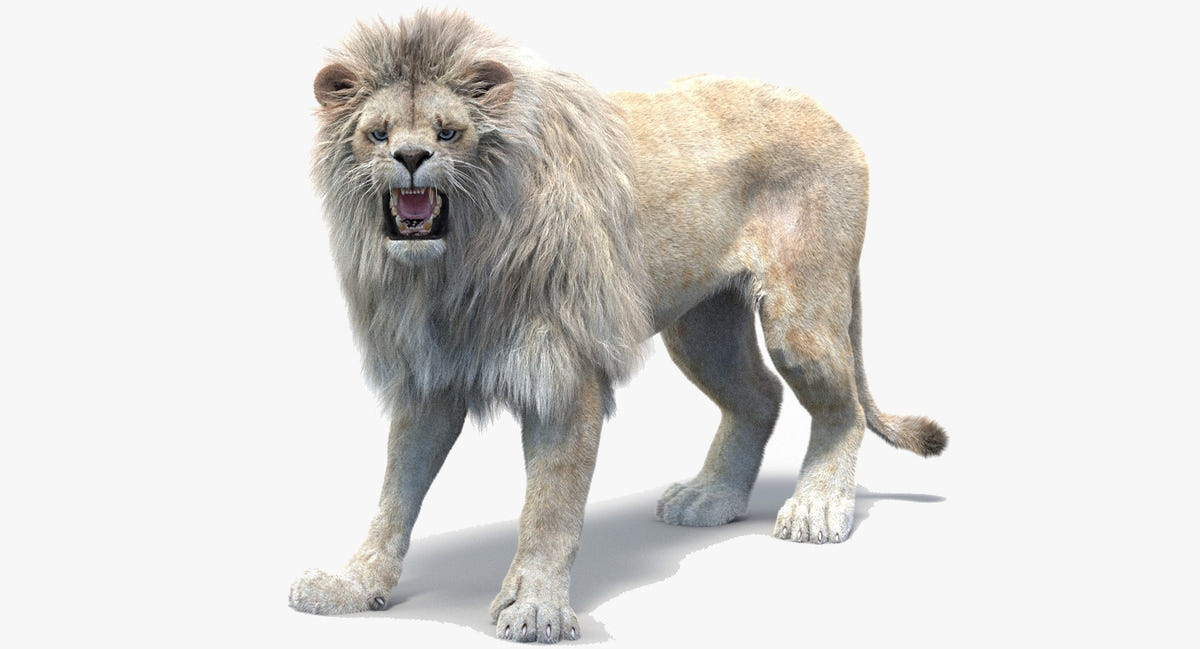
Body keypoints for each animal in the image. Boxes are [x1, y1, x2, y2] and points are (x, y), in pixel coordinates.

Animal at [289, 10, 946, 643]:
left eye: (448, 132)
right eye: (378, 133)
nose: (409, 159)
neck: (456, 266)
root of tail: (826, 112)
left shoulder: (565, 372)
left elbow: (550, 506)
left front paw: (536, 608)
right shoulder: (430, 375)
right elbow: (394, 494)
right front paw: (351, 585)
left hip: (800, 317)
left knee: (843, 408)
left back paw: (817, 508)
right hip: (700, 326)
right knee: (760, 395)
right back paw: (710, 497)